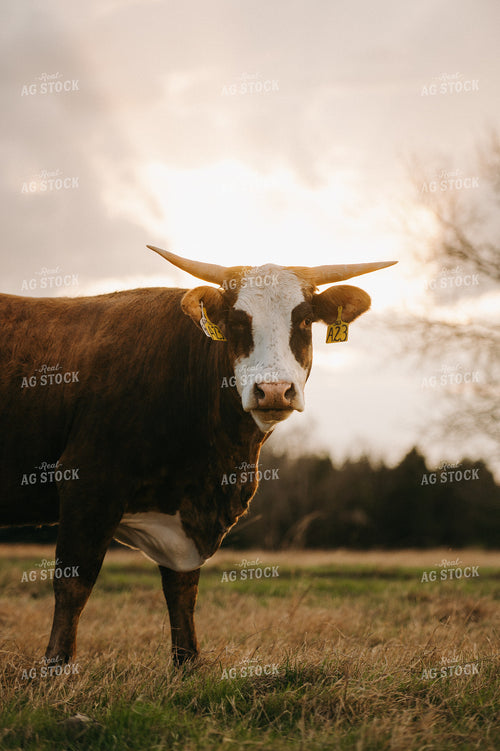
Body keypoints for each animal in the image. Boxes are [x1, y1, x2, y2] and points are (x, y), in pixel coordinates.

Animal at [0, 247, 396, 666]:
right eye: (237, 322)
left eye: (303, 320)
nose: (273, 390)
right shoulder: (88, 483)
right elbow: (74, 583)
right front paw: (55, 667)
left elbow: (182, 590)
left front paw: (187, 663)